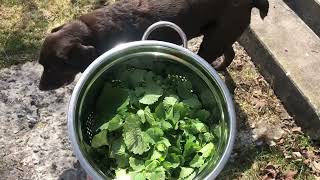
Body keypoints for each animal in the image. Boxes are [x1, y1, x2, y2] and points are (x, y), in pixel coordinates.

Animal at [37, 0, 268, 90]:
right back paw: (219, 68)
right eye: (42, 65)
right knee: (230, 53)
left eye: (53, 67)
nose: (40, 87)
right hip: (217, 35)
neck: (91, 33)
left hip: (214, 39)